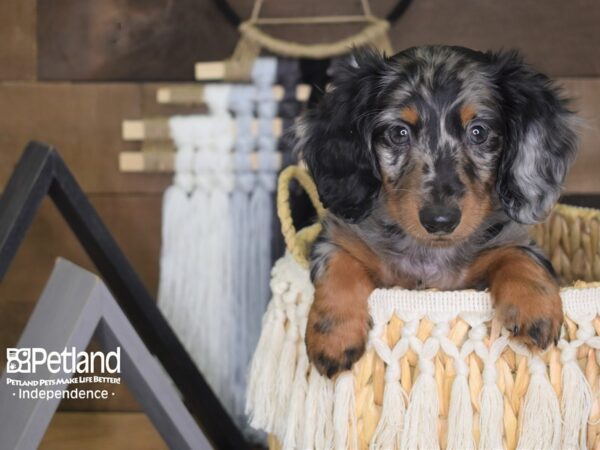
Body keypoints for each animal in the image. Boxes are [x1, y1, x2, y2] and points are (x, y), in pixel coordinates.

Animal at [298, 45, 580, 378]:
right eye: (399, 133)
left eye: (479, 132)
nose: (440, 221)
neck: (429, 253)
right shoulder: (335, 238)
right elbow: (339, 267)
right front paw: (335, 337)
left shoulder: (514, 241)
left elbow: (518, 256)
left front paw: (535, 308)